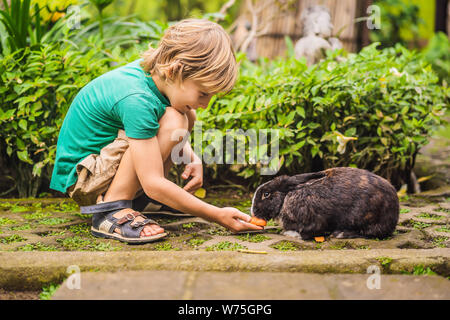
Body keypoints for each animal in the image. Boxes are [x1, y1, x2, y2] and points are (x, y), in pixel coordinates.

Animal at [250, 166, 400, 239]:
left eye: (266, 194)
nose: (253, 211)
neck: (286, 197)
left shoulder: (315, 222)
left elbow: (308, 234)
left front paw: (289, 234)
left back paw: (340, 234)